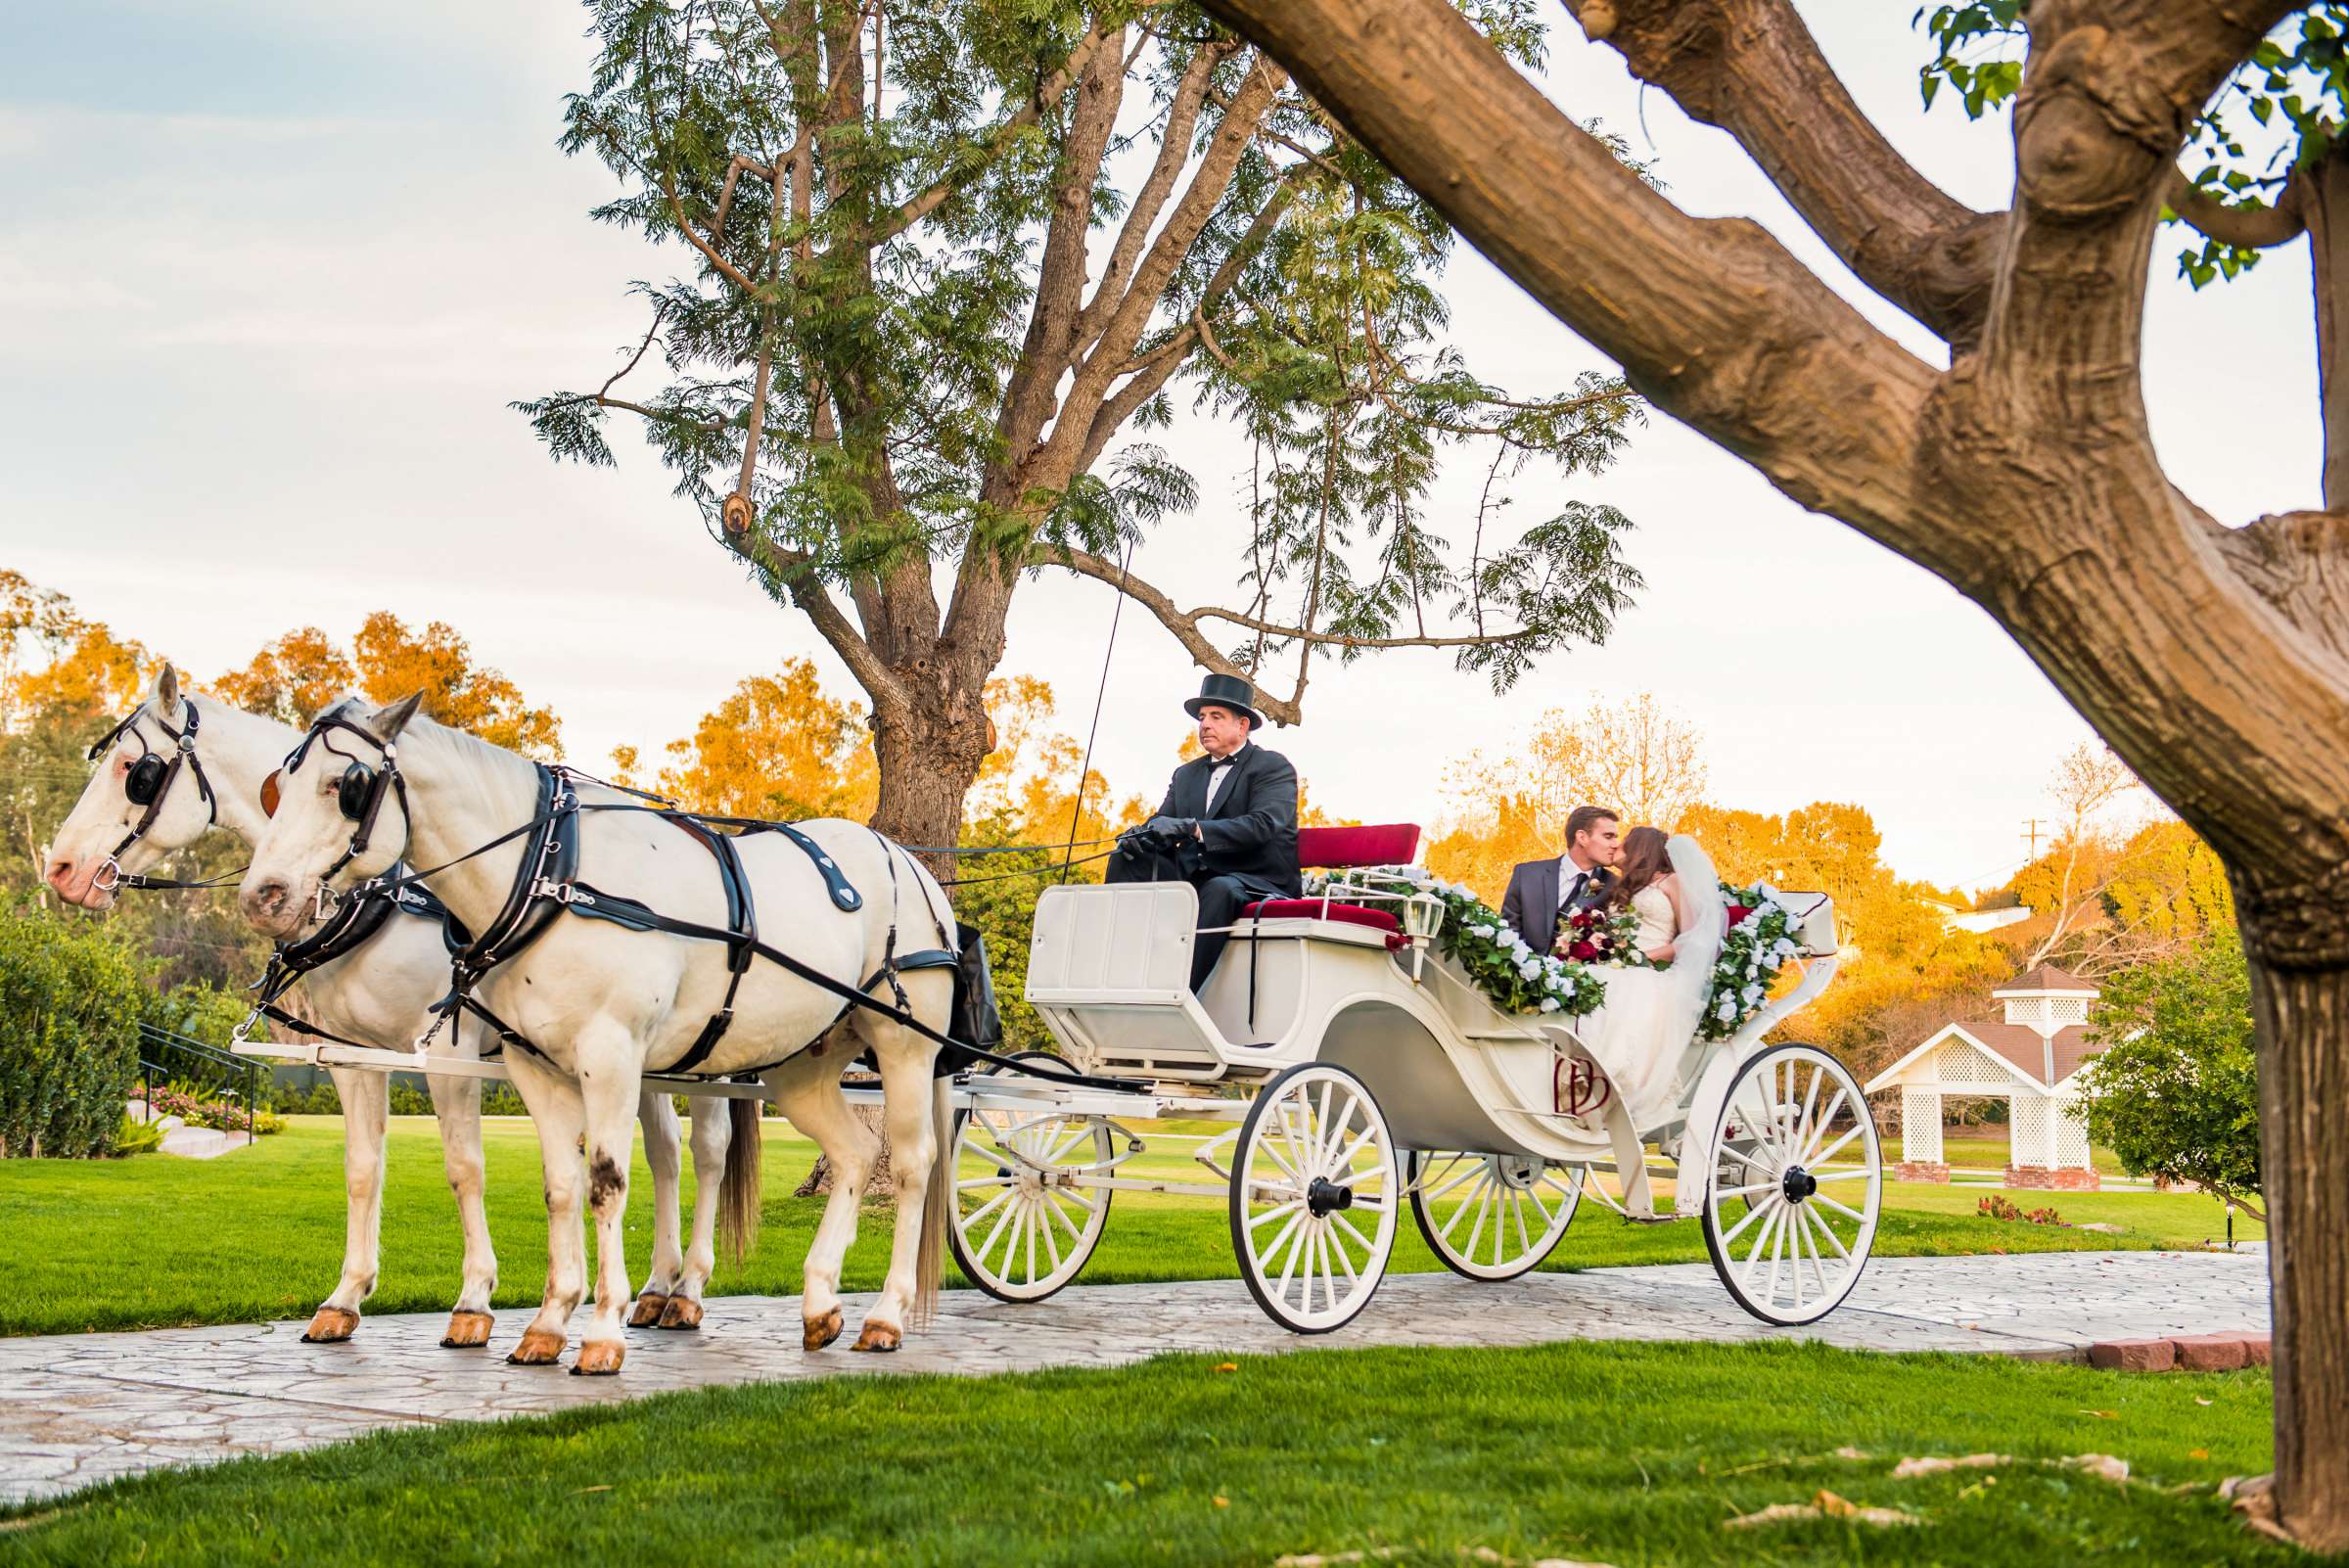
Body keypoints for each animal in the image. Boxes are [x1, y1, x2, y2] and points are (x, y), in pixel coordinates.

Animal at [48, 667, 742, 1342]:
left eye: (135, 772)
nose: (61, 870)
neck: (380, 894)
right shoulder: (353, 1056)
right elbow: (362, 1169)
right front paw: (346, 1296)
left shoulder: (450, 1055)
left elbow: (465, 1167)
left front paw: (474, 1299)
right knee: (664, 1152)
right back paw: (656, 1287)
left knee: (709, 1150)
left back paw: (688, 1289)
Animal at [243, 699, 958, 1370]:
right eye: (279, 785)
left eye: (344, 785)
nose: (261, 897)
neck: (550, 876)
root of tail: (911, 865)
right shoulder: (529, 1065)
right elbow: (559, 1185)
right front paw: (548, 1321)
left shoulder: (602, 1053)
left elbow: (603, 1181)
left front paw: (599, 1330)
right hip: (799, 1064)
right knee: (854, 1154)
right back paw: (818, 1300)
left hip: (903, 1046)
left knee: (910, 1162)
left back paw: (884, 1312)